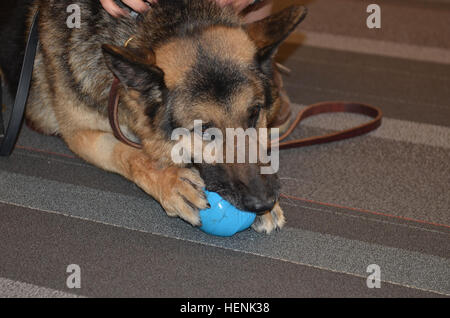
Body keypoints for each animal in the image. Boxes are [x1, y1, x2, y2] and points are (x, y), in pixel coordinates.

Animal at [0, 0, 306, 234]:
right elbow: (130, 154)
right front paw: (170, 181)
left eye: (254, 113)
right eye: (206, 130)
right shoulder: (80, 134)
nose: (263, 202)